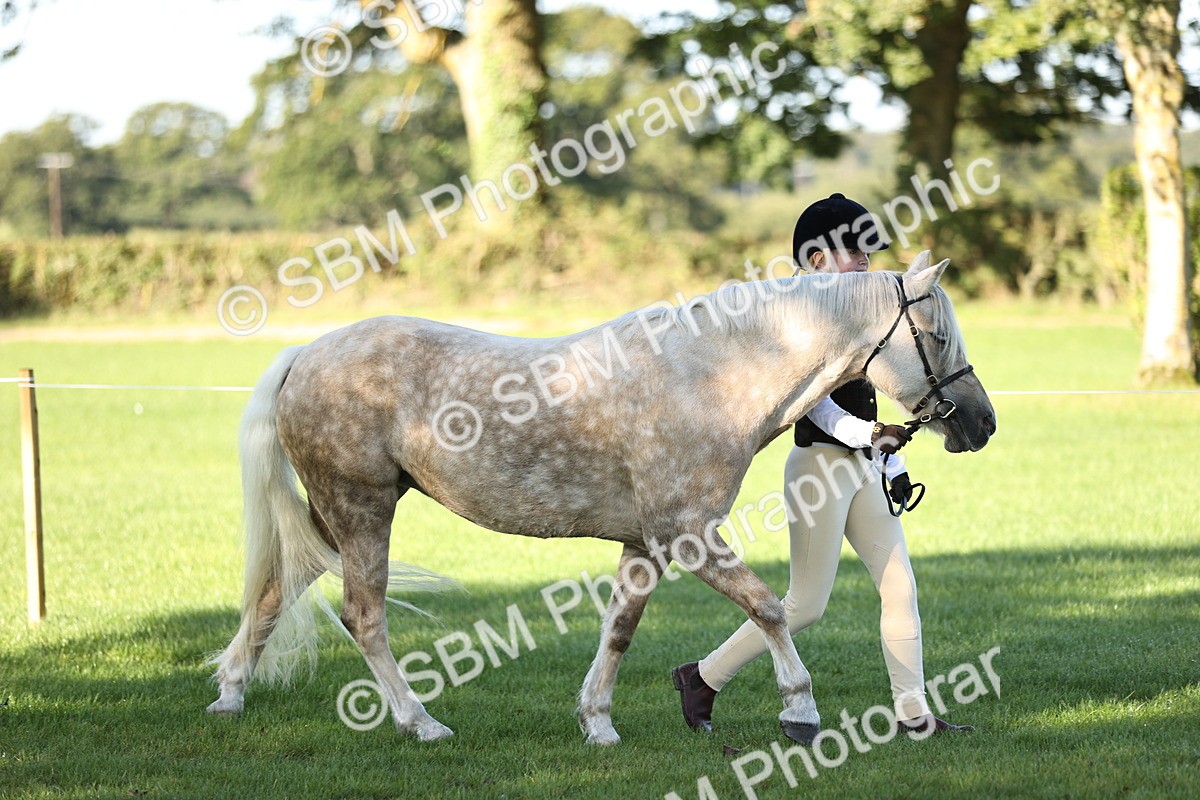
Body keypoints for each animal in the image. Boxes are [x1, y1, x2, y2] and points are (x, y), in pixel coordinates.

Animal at [206, 251, 996, 746]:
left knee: (275, 591)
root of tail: (305, 353)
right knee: (363, 617)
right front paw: (800, 710)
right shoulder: (687, 534)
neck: (708, 376)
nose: (981, 424)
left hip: (333, 516)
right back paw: (419, 723)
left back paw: (230, 695)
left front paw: (598, 723)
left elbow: (619, 630)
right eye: (935, 333)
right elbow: (770, 608)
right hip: (363, 510)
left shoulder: (645, 545)